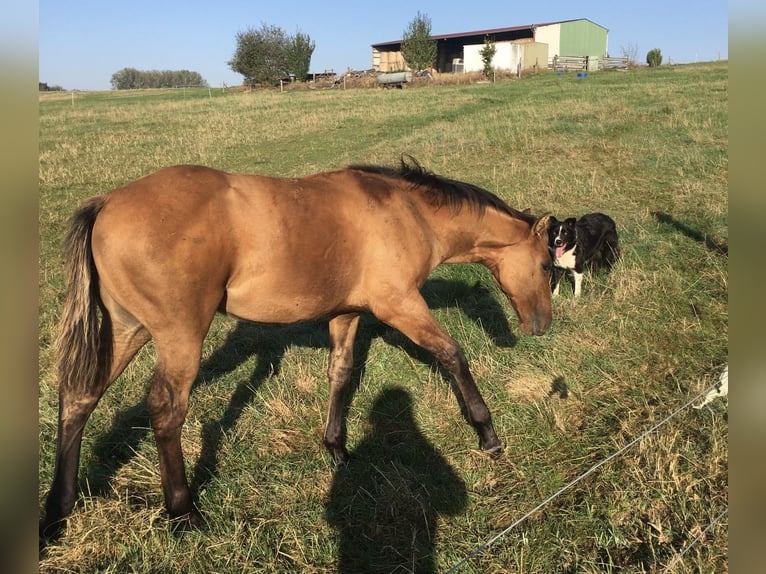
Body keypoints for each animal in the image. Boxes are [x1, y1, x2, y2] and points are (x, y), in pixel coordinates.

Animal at [40, 156, 552, 540]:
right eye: (548, 265)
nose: (541, 325)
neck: (409, 211)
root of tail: (106, 203)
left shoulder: (347, 313)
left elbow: (342, 373)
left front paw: (338, 449)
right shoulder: (400, 305)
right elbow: (452, 356)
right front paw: (488, 436)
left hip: (127, 330)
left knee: (80, 397)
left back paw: (58, 510)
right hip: (179, 336)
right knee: (166, 410)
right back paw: (183, 512)